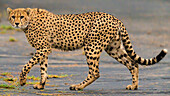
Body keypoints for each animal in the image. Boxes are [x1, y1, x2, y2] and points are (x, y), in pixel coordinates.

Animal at [6, 7, 167, 91]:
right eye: (13, 16)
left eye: (21, 16)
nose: (16, 23)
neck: (29, 20)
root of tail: (113, 17)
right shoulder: (44, 50)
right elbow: (43, 68)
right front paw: (41, 84)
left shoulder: (43, 48)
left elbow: (26, 65)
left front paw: (22, 81)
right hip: (113, 48)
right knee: (133, 63)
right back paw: (134, 86)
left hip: (92, 47)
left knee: (95, 72)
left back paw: (78, 86)